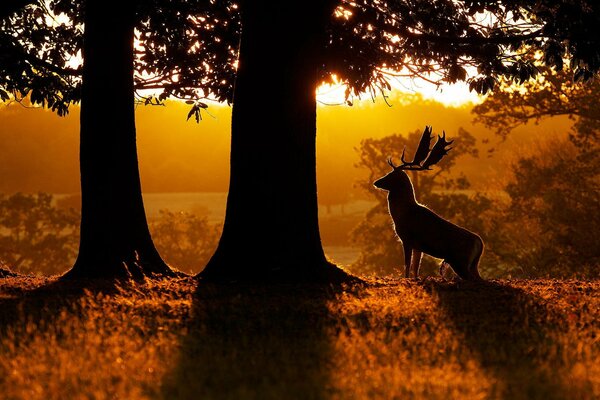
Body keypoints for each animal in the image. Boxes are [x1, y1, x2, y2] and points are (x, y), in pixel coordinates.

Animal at [372, 126, 486, 282]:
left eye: (391, 175)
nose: (376, 182)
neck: (402, 213)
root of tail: (480, 243)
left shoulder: (407, 238)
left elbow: (407, 265)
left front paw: (405, 279)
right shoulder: (418, 246)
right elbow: (416, 268)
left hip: (460, 261)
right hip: (472, 264)